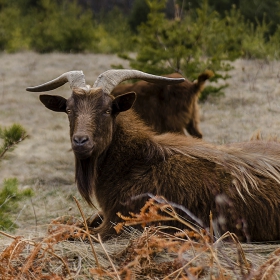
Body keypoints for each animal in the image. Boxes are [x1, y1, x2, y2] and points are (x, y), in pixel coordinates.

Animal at [27, 70, 280, 243]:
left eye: (107, 110)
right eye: (69, 110)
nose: (80, 141)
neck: (133, 163)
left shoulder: (119, 223)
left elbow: (71, 232)